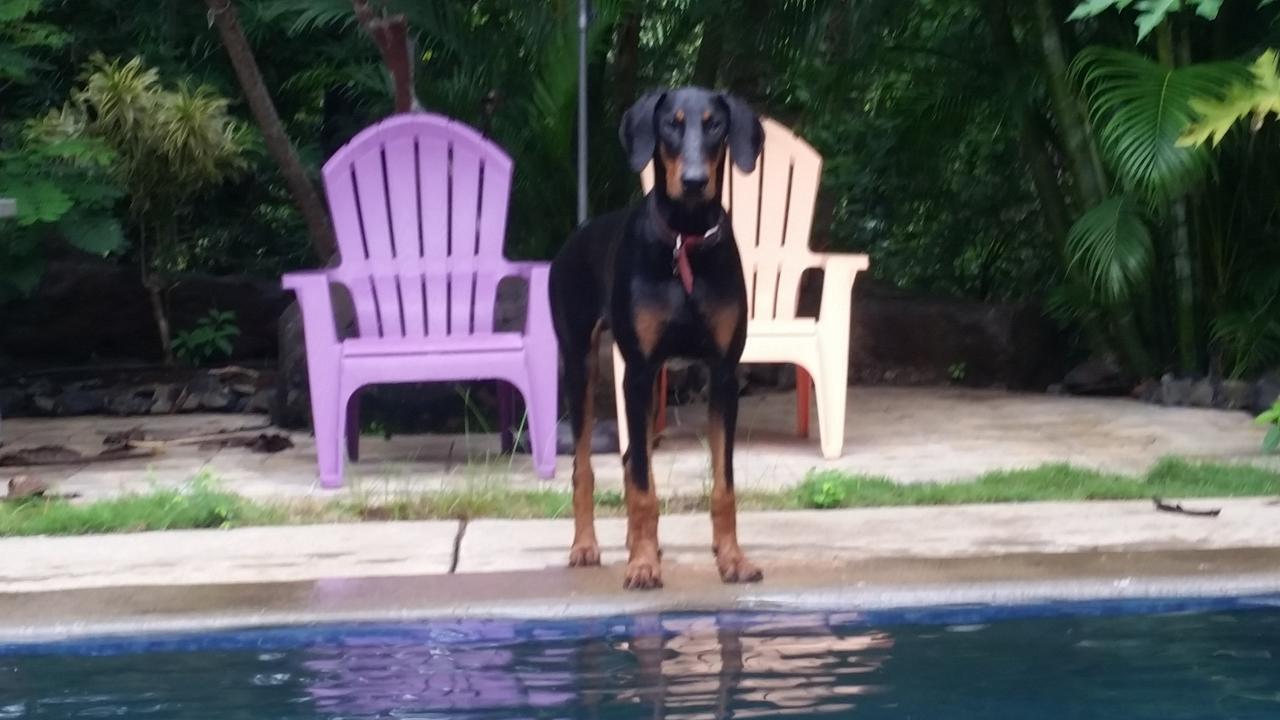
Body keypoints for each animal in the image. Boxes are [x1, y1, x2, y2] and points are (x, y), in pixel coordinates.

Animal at [547, 85, 762, 589]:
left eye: (715, 124)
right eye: (671, 124)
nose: (695, 181)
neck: (685, 242)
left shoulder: (723, 373)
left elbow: (723, 484)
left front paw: (732, 558)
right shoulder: (640, 372)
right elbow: (643, 486)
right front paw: (644, 564)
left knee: (631, 458)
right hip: (582, 366)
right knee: (586, 466)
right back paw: (586, 546)